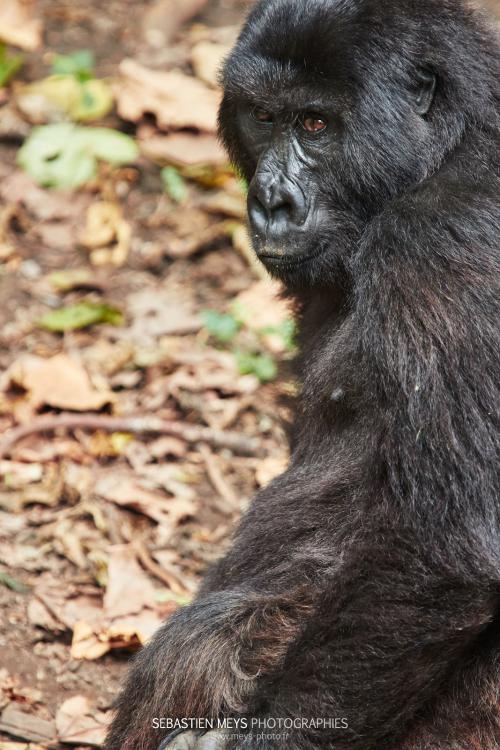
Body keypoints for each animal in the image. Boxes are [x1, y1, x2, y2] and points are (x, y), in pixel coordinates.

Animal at [103, 0, 498, 748]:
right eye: (264, 117)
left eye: (315, 124)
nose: (271, 201)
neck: (451, 144)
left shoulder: (449, 243)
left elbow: (451, 544)